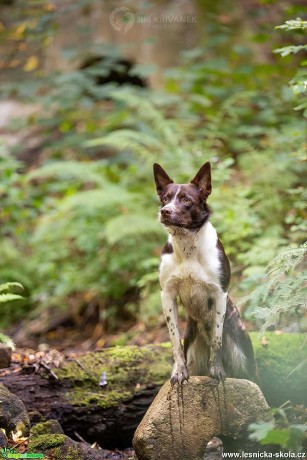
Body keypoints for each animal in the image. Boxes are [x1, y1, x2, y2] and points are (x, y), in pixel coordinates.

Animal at [154, 162, 258, 384]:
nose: (164, 211)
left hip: (243, 357)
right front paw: (178, 372)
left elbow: (216, 341)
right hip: (194, 352)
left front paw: (217, 371)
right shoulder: (167, 295)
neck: (187, 247)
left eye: (186, 200)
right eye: (165, 198)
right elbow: (174, 341)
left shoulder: (219, 293)